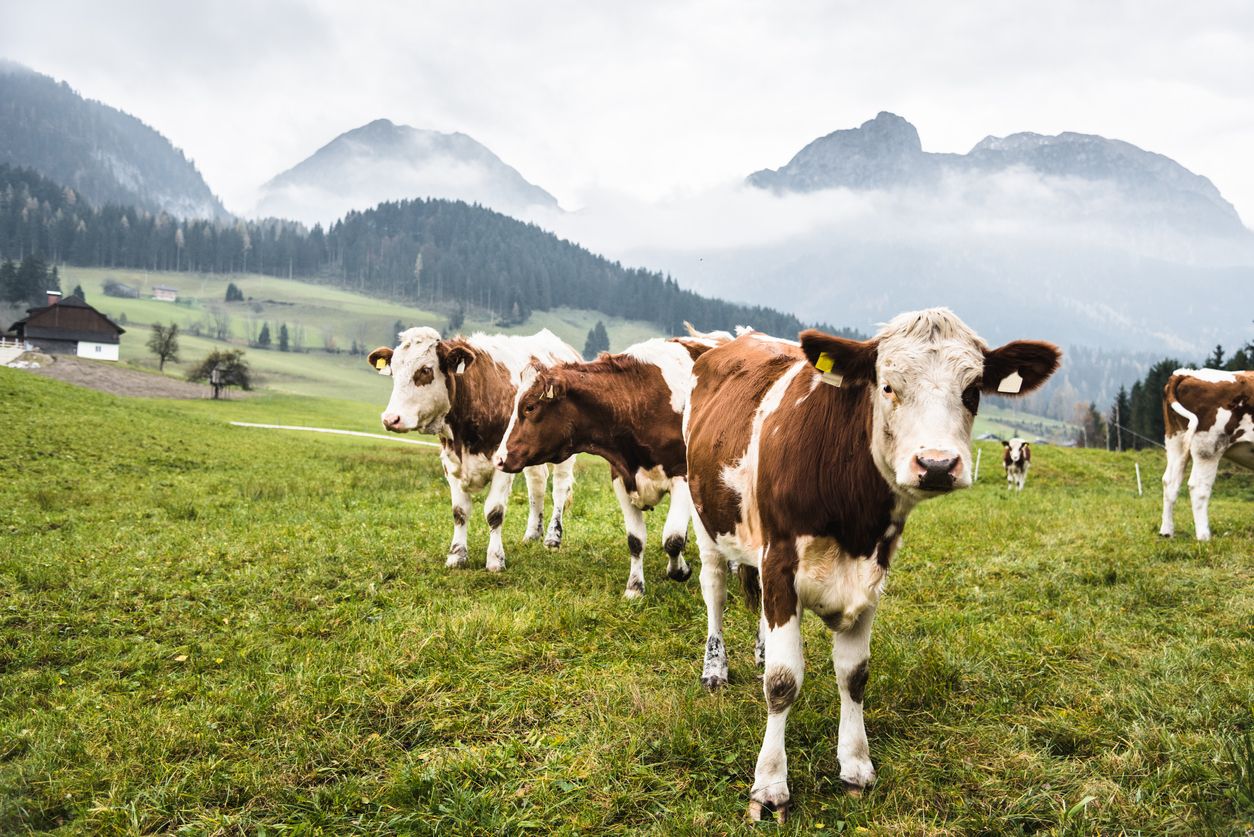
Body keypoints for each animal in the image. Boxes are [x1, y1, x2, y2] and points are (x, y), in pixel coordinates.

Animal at [367, 327, 580, 572]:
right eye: (394, 371)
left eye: (425, 370)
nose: (390, 419)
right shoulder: (450, 462)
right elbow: (459, 512)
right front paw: (456, 555)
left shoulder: (501, 463)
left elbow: (494, 512)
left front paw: (495, 559)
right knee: (537, 484)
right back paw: (532, 534)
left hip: (564, 453)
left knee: (560, 487)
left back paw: (553, 538)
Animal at [493, 328, 732, 598]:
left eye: (530, 407)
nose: (499, 458)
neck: (639, 401)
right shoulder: (620, 476)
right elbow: (635, 540)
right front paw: (635, 588)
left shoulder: (682, 476)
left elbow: (672, 539)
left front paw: (679, 570)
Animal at [682, 308, 1060, 821]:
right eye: (887, 386)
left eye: (973, 390)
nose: (937, 465)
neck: (850, 516)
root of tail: (731, 340)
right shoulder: (780, 560)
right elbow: (782, 681)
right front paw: (770, 785)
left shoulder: (871, 571)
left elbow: (854, 674)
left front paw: (856, 766)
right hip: (706, 518)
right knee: (715, 590)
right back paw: (715, 668)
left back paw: (760, 648)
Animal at [1159, 368, 1254, 541]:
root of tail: (1186, 373)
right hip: (1208, 447)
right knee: (1198, 486)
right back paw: (1204, 536)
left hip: (1175, 440)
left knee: (1170, 482)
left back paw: (1167, 531)